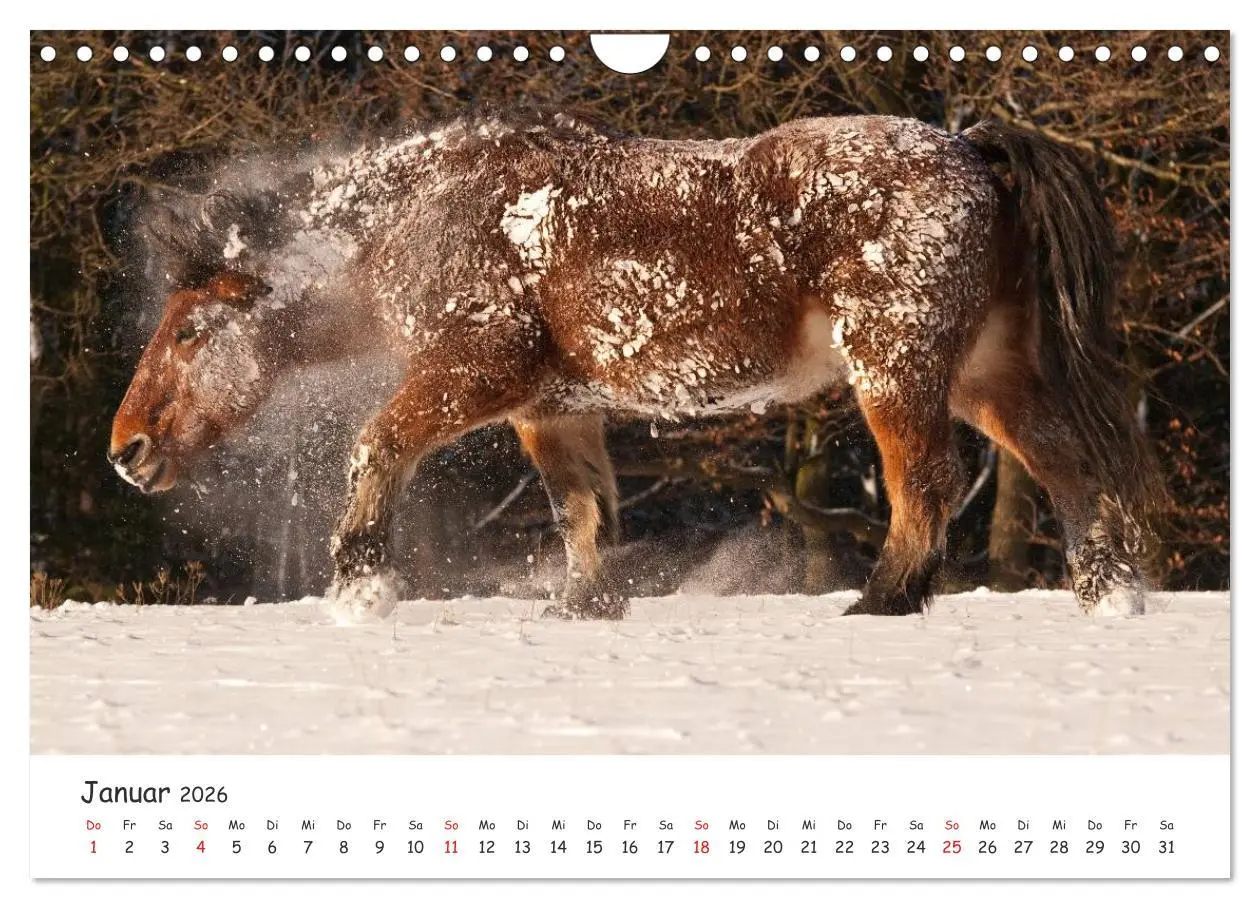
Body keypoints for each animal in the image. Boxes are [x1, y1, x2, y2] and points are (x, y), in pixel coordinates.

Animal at [109, 109, 1163, 618]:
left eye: (190, 332)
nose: (126, 451)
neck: (429, 215)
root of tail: (975, 151)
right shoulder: (550, 407)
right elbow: (582, 512)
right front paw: (583, 606)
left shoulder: (474, 377)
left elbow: (377, 445)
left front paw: (361, 585)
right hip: (989, 377)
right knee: (1072, 468)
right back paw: (1109, 596)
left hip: (897, 370)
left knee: (927, 487)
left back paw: (885, 600)